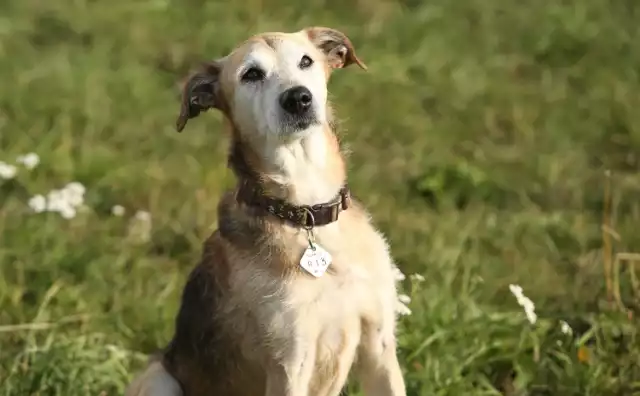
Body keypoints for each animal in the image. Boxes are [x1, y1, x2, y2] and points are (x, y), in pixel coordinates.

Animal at [122, 27, 408, 396]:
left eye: (306, 61)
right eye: (252, 74)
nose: (298, 98)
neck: (305, 213)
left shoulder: (379, 344)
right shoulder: (290, 361)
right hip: (159, 377)